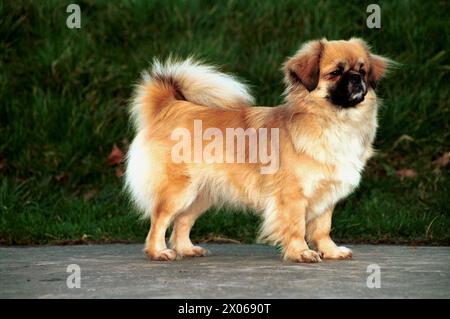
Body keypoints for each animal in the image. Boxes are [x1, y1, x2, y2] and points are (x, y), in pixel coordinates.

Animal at [124, 38, 390, 262]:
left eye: (362, 71)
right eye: (335, 73)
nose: (356, 78)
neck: (335, 122)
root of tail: (170, 107)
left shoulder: (327, 194)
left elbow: (323, 229)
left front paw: (331, 251)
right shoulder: (293, 196)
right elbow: (297, 227)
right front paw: (301, 253)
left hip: (201, 194)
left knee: (182, 221)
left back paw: (187, 249)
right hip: (178, 190)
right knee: (159, 220)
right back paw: (158, 252)